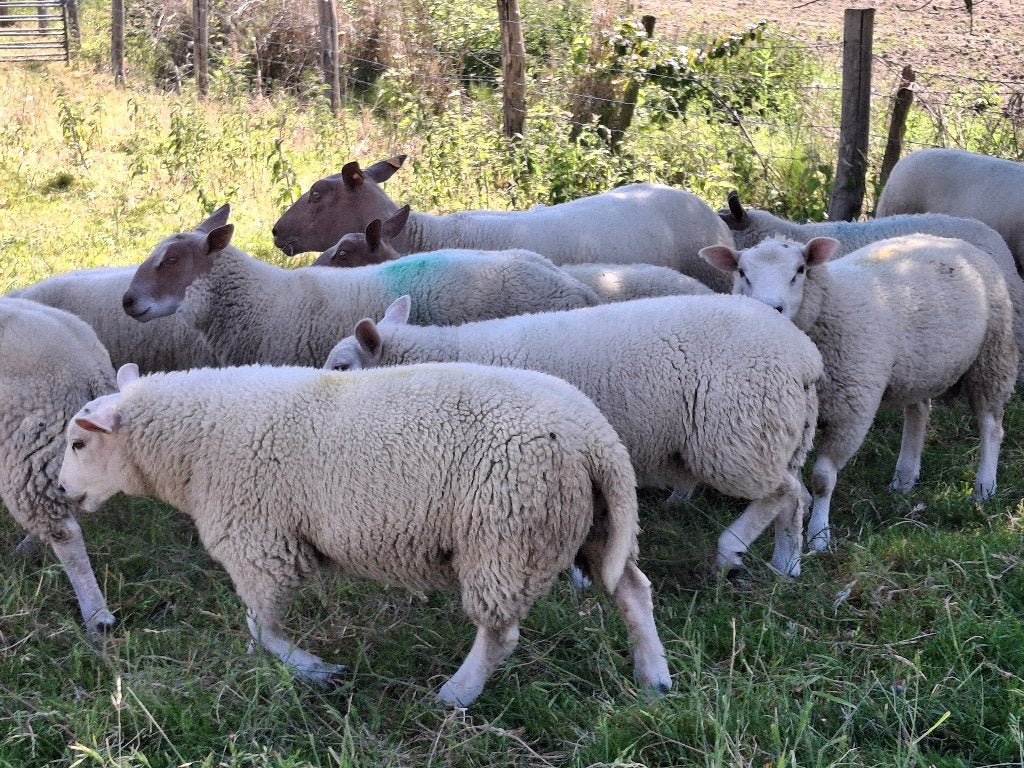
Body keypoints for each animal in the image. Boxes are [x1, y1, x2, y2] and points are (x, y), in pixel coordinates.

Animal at [57, 361, 673, 707]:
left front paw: (311, 669)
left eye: (79, 443)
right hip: (592, 524)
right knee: (633, 590)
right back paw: (654, 678)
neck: (189, 446)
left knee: (499, 633)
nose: (62, 491)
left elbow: (260, 626)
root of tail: (595, 437)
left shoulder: (260, 542)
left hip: (504, 534)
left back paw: (457, 694)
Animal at [325, 293, 823, 577]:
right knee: (795, 498)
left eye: (342, 367)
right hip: (774, 433)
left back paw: (731, 551)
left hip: (738, 434)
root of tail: (804, 357)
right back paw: (788, 565)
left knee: (783, 491)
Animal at [701, 233, 1017, 552]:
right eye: (742, 272)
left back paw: (984, 487)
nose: (770, 308)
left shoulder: (852, 413)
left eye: (800, 270)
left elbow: (822, 479)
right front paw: (800, 507)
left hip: (993, 354)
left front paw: (819, 535)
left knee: (991, 426)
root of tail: (950, 240)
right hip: (919, 368)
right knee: (919, 411)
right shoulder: (793, 417)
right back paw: (904, 478)